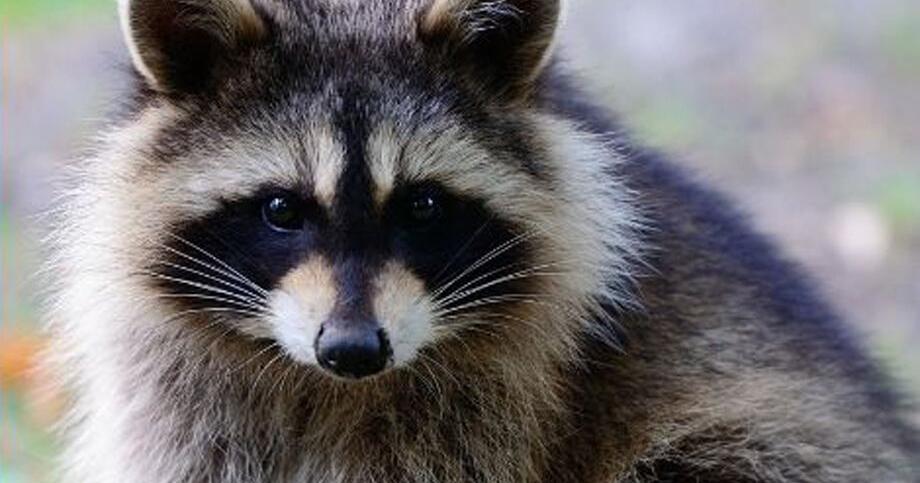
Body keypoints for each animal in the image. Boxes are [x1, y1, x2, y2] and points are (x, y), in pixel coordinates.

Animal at [44, 0, 918, 481]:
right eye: (282, 209)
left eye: (424, 205)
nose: (353, 348)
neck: (328, 387)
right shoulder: (180, 396)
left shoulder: (502, 411)